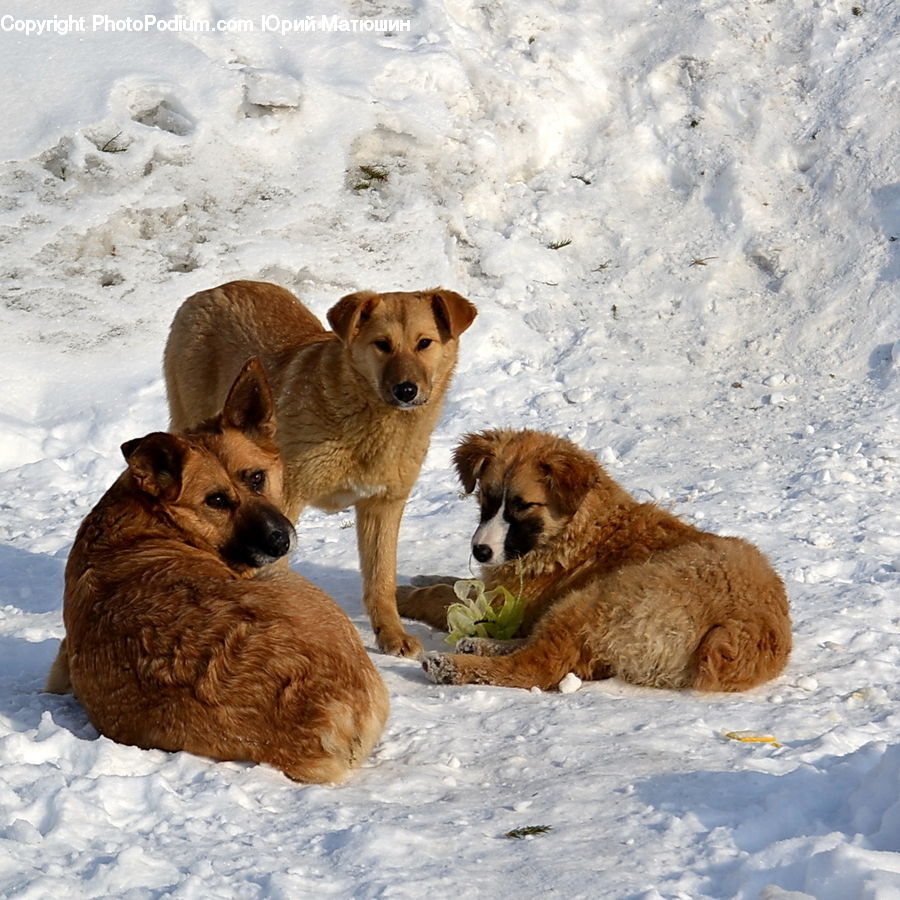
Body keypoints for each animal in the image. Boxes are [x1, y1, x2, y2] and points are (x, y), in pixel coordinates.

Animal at [46, 356, 386, 780]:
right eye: (217, 501)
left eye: (256, 478)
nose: (280, 541)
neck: (155, 519)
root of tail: (318, 713)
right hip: (288, 582)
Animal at [167, 278, 478, 656]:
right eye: (382, 344)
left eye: (424, 343)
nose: (406, 390)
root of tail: (211, 290)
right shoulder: (284, 502)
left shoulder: (383, 505)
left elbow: (381, 578)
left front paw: (391, 635)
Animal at [398, 428, 792, 688]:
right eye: (486, 499)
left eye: (523, 506)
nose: (480, 550)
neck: (579, 527)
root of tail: (746, 628)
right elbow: (454, 584)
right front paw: (422, 580)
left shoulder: (508, 602)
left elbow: (441, 596)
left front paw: (402, 595)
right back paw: (478, 645)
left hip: (597, 598)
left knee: (538, 665)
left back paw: (451, 666)